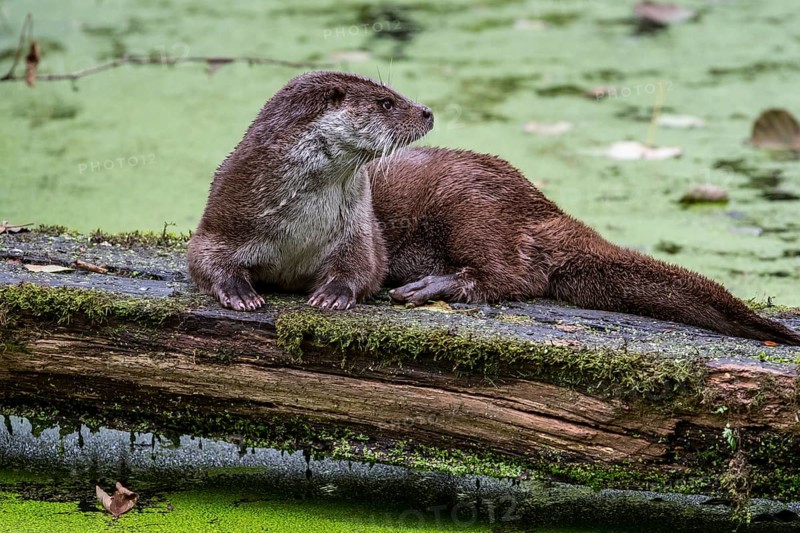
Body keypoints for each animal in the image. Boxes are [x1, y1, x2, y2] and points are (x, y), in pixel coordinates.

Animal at [188, 71, 433, 310]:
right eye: (386, 103)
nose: (427, 112)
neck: (300, 232)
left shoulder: (359, 227)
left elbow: (365, 267)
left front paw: (334, 294)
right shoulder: (225, 212)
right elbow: (202, 256)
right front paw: (238, 292)